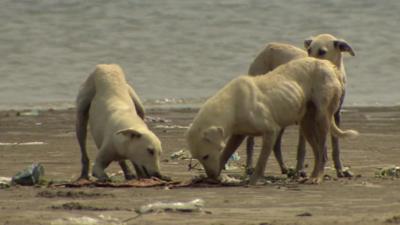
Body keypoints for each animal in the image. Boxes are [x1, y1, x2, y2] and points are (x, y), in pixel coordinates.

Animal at [186, 57, 358, 185]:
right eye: (198, 158)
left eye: (206, 156)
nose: (211, 175)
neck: (231, 105)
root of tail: (329, 66)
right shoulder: (237, 135)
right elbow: (225, 154)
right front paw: (215, 177)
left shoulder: (271, 131)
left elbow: (261, 161)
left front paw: (253, 180)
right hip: (306, 122)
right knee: (318, 151)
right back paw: (313, 175)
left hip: (322, 117)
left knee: (322, 150)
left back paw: (317, 177)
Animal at [245, 33, 354, 178]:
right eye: (309, 50)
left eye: (322, 52)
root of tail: (268, 47)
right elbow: (302, 148)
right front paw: (300, 170)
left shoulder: (335, 115)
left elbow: (335, 146)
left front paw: (340, 169)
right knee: (250, 140)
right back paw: (249, 167)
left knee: (276, 144)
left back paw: (285, 168)